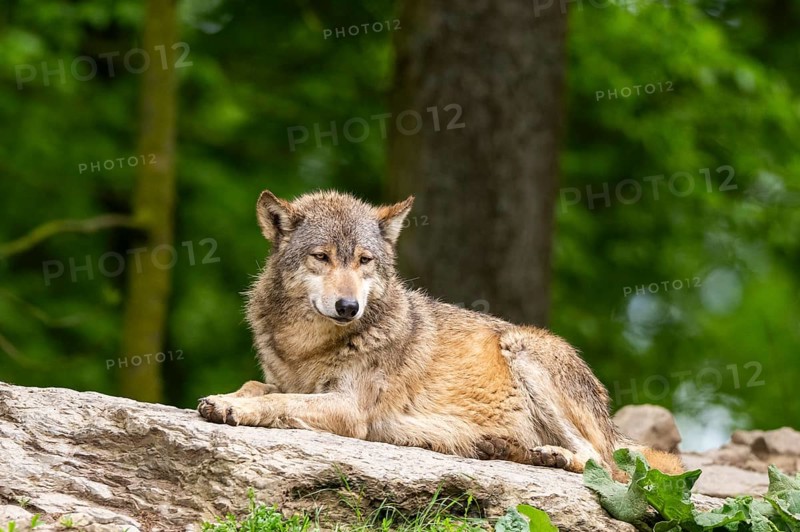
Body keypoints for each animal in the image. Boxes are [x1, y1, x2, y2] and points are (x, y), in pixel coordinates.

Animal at [198, 189, 683, 476]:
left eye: (364, 260)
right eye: (322, 256)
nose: (349, 307)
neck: (308, 347)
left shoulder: (350, 410)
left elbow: (278, 402)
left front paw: (234, 408)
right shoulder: (286, 379)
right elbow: (258, 386)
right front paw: (226, 399)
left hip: (522, 348)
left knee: (603, 463)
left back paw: (552, 456)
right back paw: (504, 449)